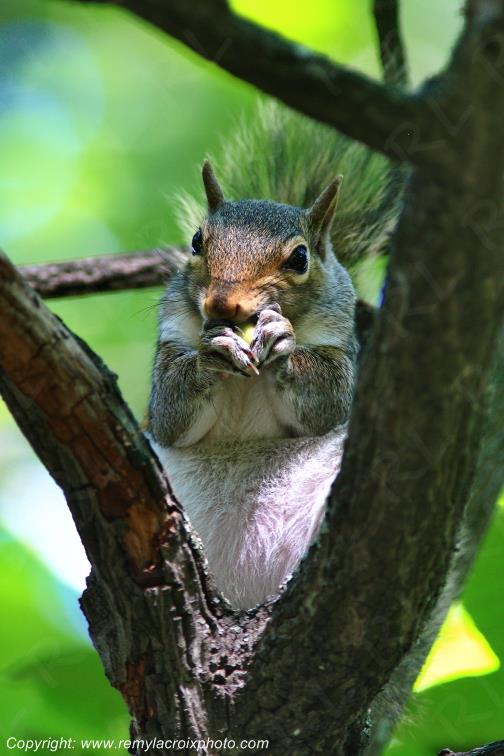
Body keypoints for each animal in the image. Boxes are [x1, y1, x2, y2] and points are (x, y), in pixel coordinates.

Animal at [147, 104, 395, 610]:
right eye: (197, 241)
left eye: (300, 258)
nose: (222, 305)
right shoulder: (171, 337)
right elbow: (169, 414)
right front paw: (212, 353)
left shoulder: (340, 345)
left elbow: (327, 404)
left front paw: (283, 341)